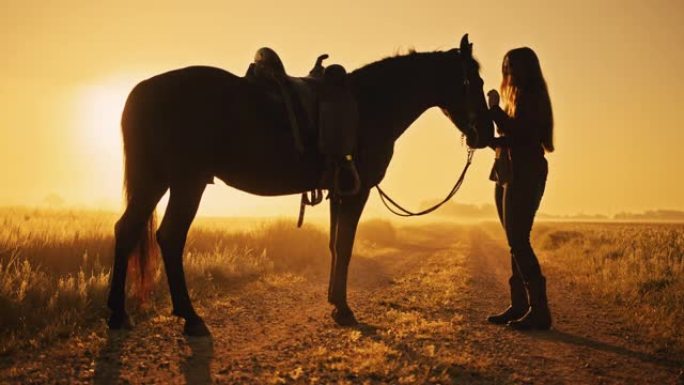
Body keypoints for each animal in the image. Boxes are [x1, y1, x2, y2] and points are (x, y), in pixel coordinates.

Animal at [105, 34, 492, 334]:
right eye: (474, 83)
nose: (486, 134)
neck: (369, 105)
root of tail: (144, 89)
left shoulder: (340, 190)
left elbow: (336, 246)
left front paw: (335, 302)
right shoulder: (358, 191)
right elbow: (346, 246)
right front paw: (344, 310)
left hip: (154, 180)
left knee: (126, 230)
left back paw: (118, 314)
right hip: (187, 182)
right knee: (170, 237)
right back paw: (190, 317)